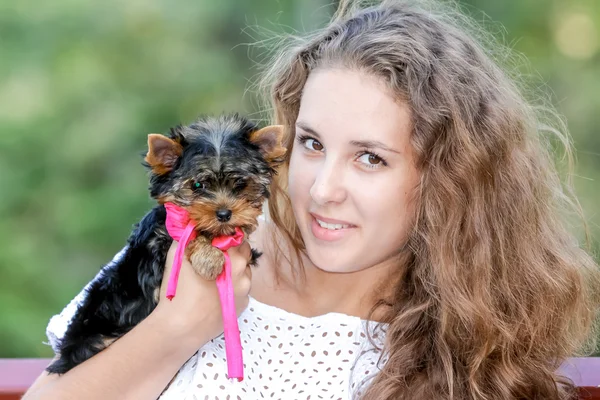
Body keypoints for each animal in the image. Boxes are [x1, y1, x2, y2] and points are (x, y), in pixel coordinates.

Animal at [47, 113, 286, 376]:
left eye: (241, 184)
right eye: (198, 186)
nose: (224, 213)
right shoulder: (158, 247)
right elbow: (184, 235)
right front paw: (209, 257)